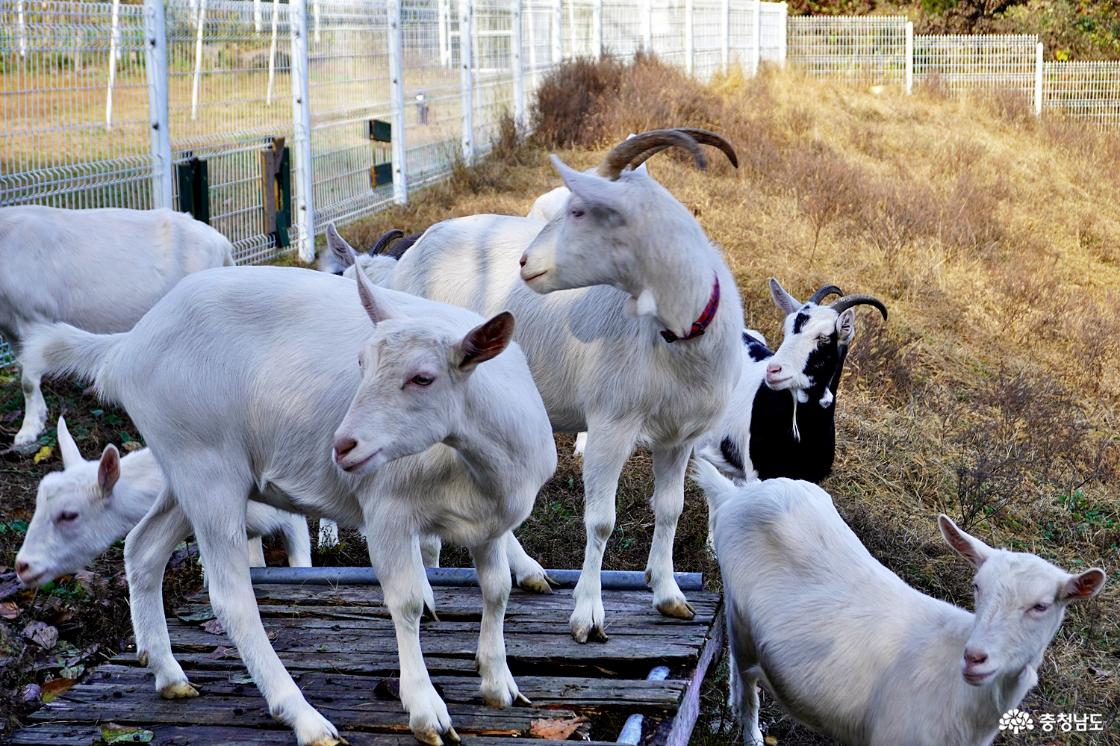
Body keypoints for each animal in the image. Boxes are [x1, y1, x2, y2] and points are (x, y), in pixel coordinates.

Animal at [29, 260, 560, 743]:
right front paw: (426, 710)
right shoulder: (387, 510)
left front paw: (498, 683)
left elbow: (497, 590)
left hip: (182, 469)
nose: (343, 446)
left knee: (143, 548)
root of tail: (128, 344)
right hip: (207, 467)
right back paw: (303, 717)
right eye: (361, 364)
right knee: (231, 597)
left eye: (423, 378)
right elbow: (407, 602)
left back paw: (169, 674)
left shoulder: (491, 522)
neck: (481, 462)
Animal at [336, 127, 748, 640]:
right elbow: (601, 521)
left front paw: (669, 595)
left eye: (579, 211)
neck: (676, 338)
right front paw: (588, 614)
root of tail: (408, 258)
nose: (526, 262)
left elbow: (670, 508)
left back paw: (526, 571)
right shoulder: (612, 421)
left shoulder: (680, 435)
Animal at [694, 459, 1106, 743]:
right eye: (977, 587)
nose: (974, 657)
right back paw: (750, 732)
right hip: (740, 619)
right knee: (745, 683)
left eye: (1041, 605)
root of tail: (736, 495)